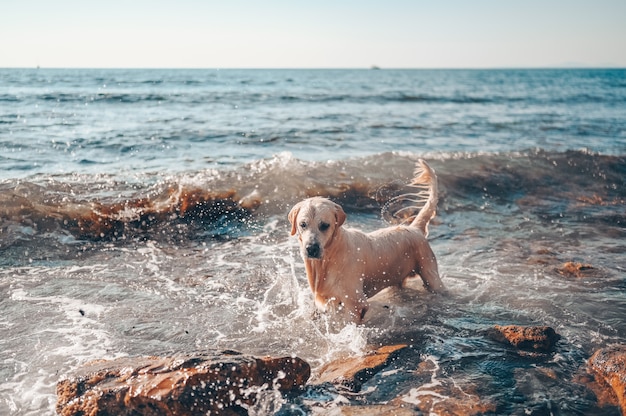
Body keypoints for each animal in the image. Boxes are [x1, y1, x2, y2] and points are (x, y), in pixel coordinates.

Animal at [288, 158, 444, 324]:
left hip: (431, 274)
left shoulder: (355, 303)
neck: (330, 257)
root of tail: (415, 228)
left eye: (324, 225)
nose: (311, 248)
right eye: (303, 224)